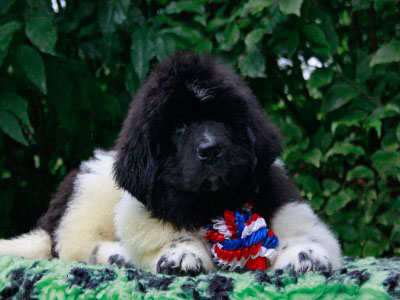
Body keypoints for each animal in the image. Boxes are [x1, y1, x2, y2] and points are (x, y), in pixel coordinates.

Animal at [0, 51, 340, 274]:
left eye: (223, 120)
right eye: (178, 126)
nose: (210, 150)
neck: (211, 203)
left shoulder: (277, 192)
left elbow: (303, 229)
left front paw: (305, 254)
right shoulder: (143, 206)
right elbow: (168, 232)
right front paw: (182, 255)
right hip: (90, 193)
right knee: (76, 246)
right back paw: (115, 255)